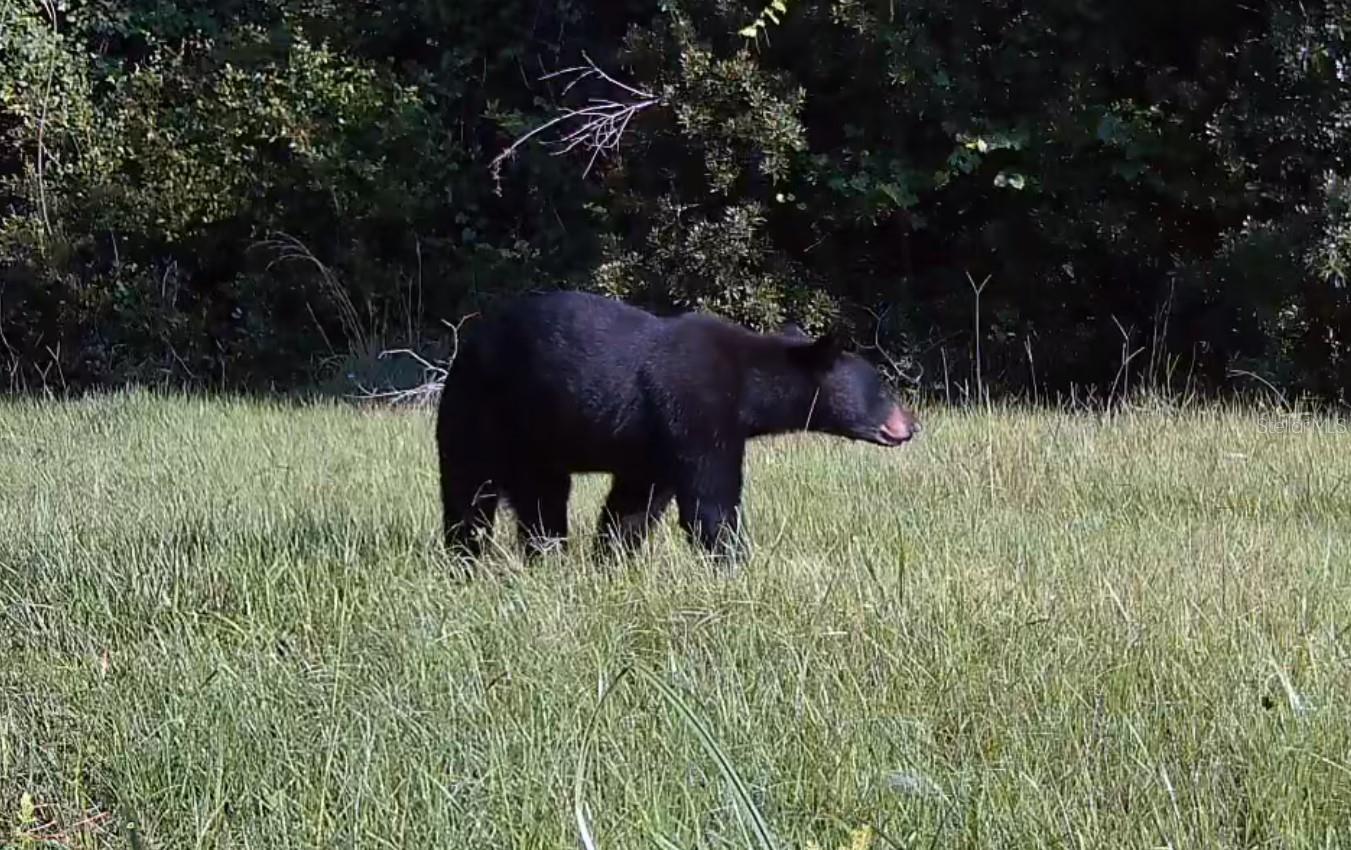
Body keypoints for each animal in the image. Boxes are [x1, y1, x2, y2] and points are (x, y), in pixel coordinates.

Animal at [432, 293, 918, 564]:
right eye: (882, 388)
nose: (910, 425)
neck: (749, 385)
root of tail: (464, 349)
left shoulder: (652, 443)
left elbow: (635, 502)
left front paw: (613, 558)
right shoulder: (695, 409)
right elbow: (710, 499)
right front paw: (735, 562)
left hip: (535, 438)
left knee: (542, 497)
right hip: (482, 414)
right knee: (470, 493)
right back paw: (469, 559)